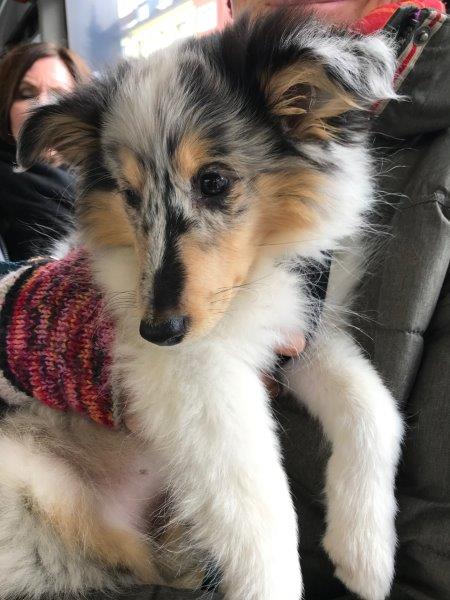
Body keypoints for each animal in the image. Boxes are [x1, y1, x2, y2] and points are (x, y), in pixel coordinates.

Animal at [0, 10, 403, 600]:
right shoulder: (191, 375)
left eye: (213, 181)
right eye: (127, 194)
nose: (158, 330)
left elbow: (373, 408)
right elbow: (256, 505)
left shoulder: (299, 336)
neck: (257, 272)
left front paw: (366, 555)